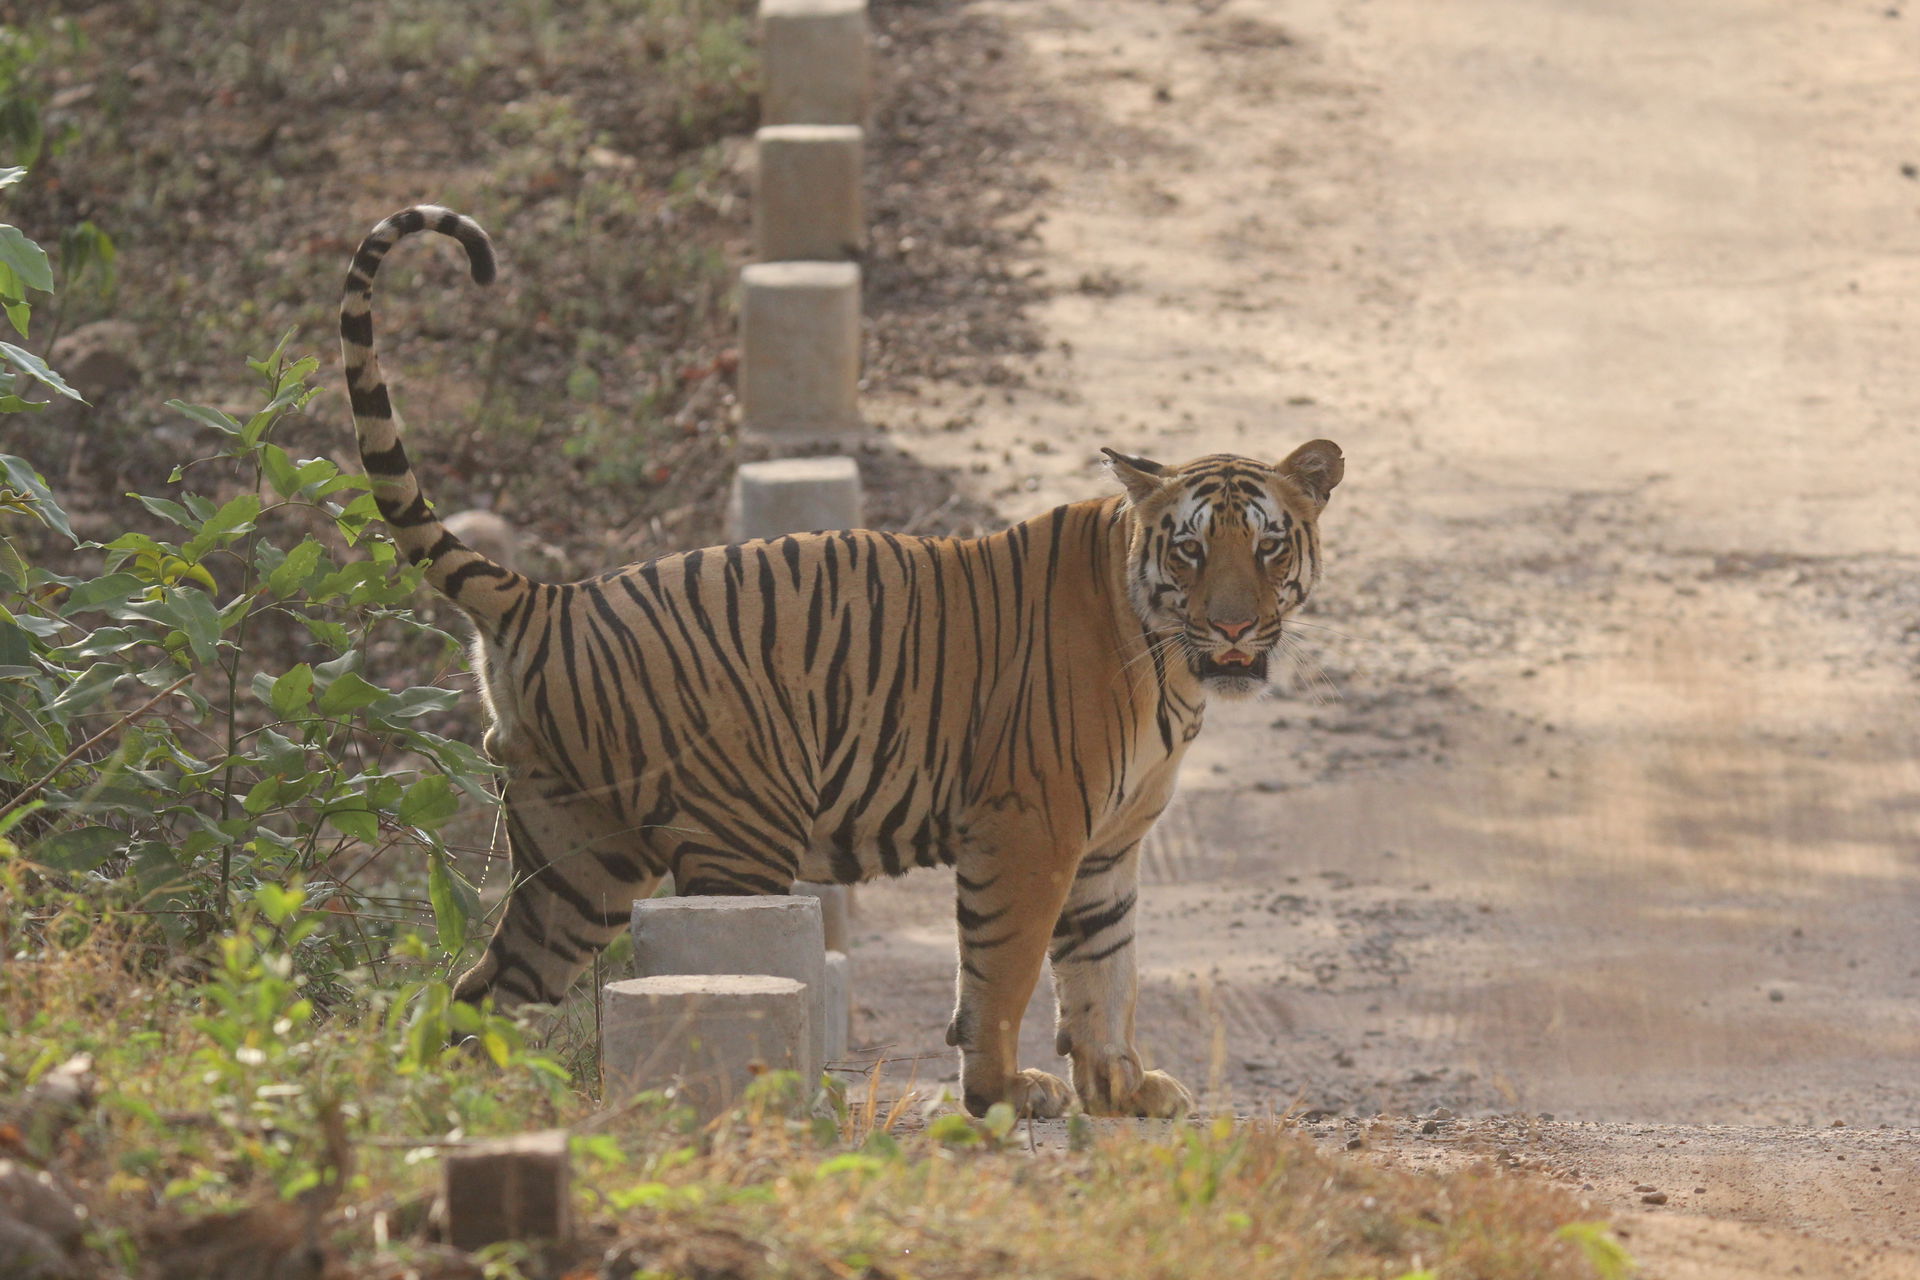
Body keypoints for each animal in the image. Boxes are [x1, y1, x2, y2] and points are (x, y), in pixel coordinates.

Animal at [338, 205, 1344, 1119]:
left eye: (1266, 548)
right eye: (1190, 551)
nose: (1232, 630)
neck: (1167, 662)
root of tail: (551, 599)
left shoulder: (1108, 844)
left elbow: (1105, 971)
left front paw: (1122, 1088)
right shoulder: (1030, 827)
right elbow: (1006, 974)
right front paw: (1003, 1092)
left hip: (575, 862)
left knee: (478, 998)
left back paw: (453, 1111)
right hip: (736, 834)